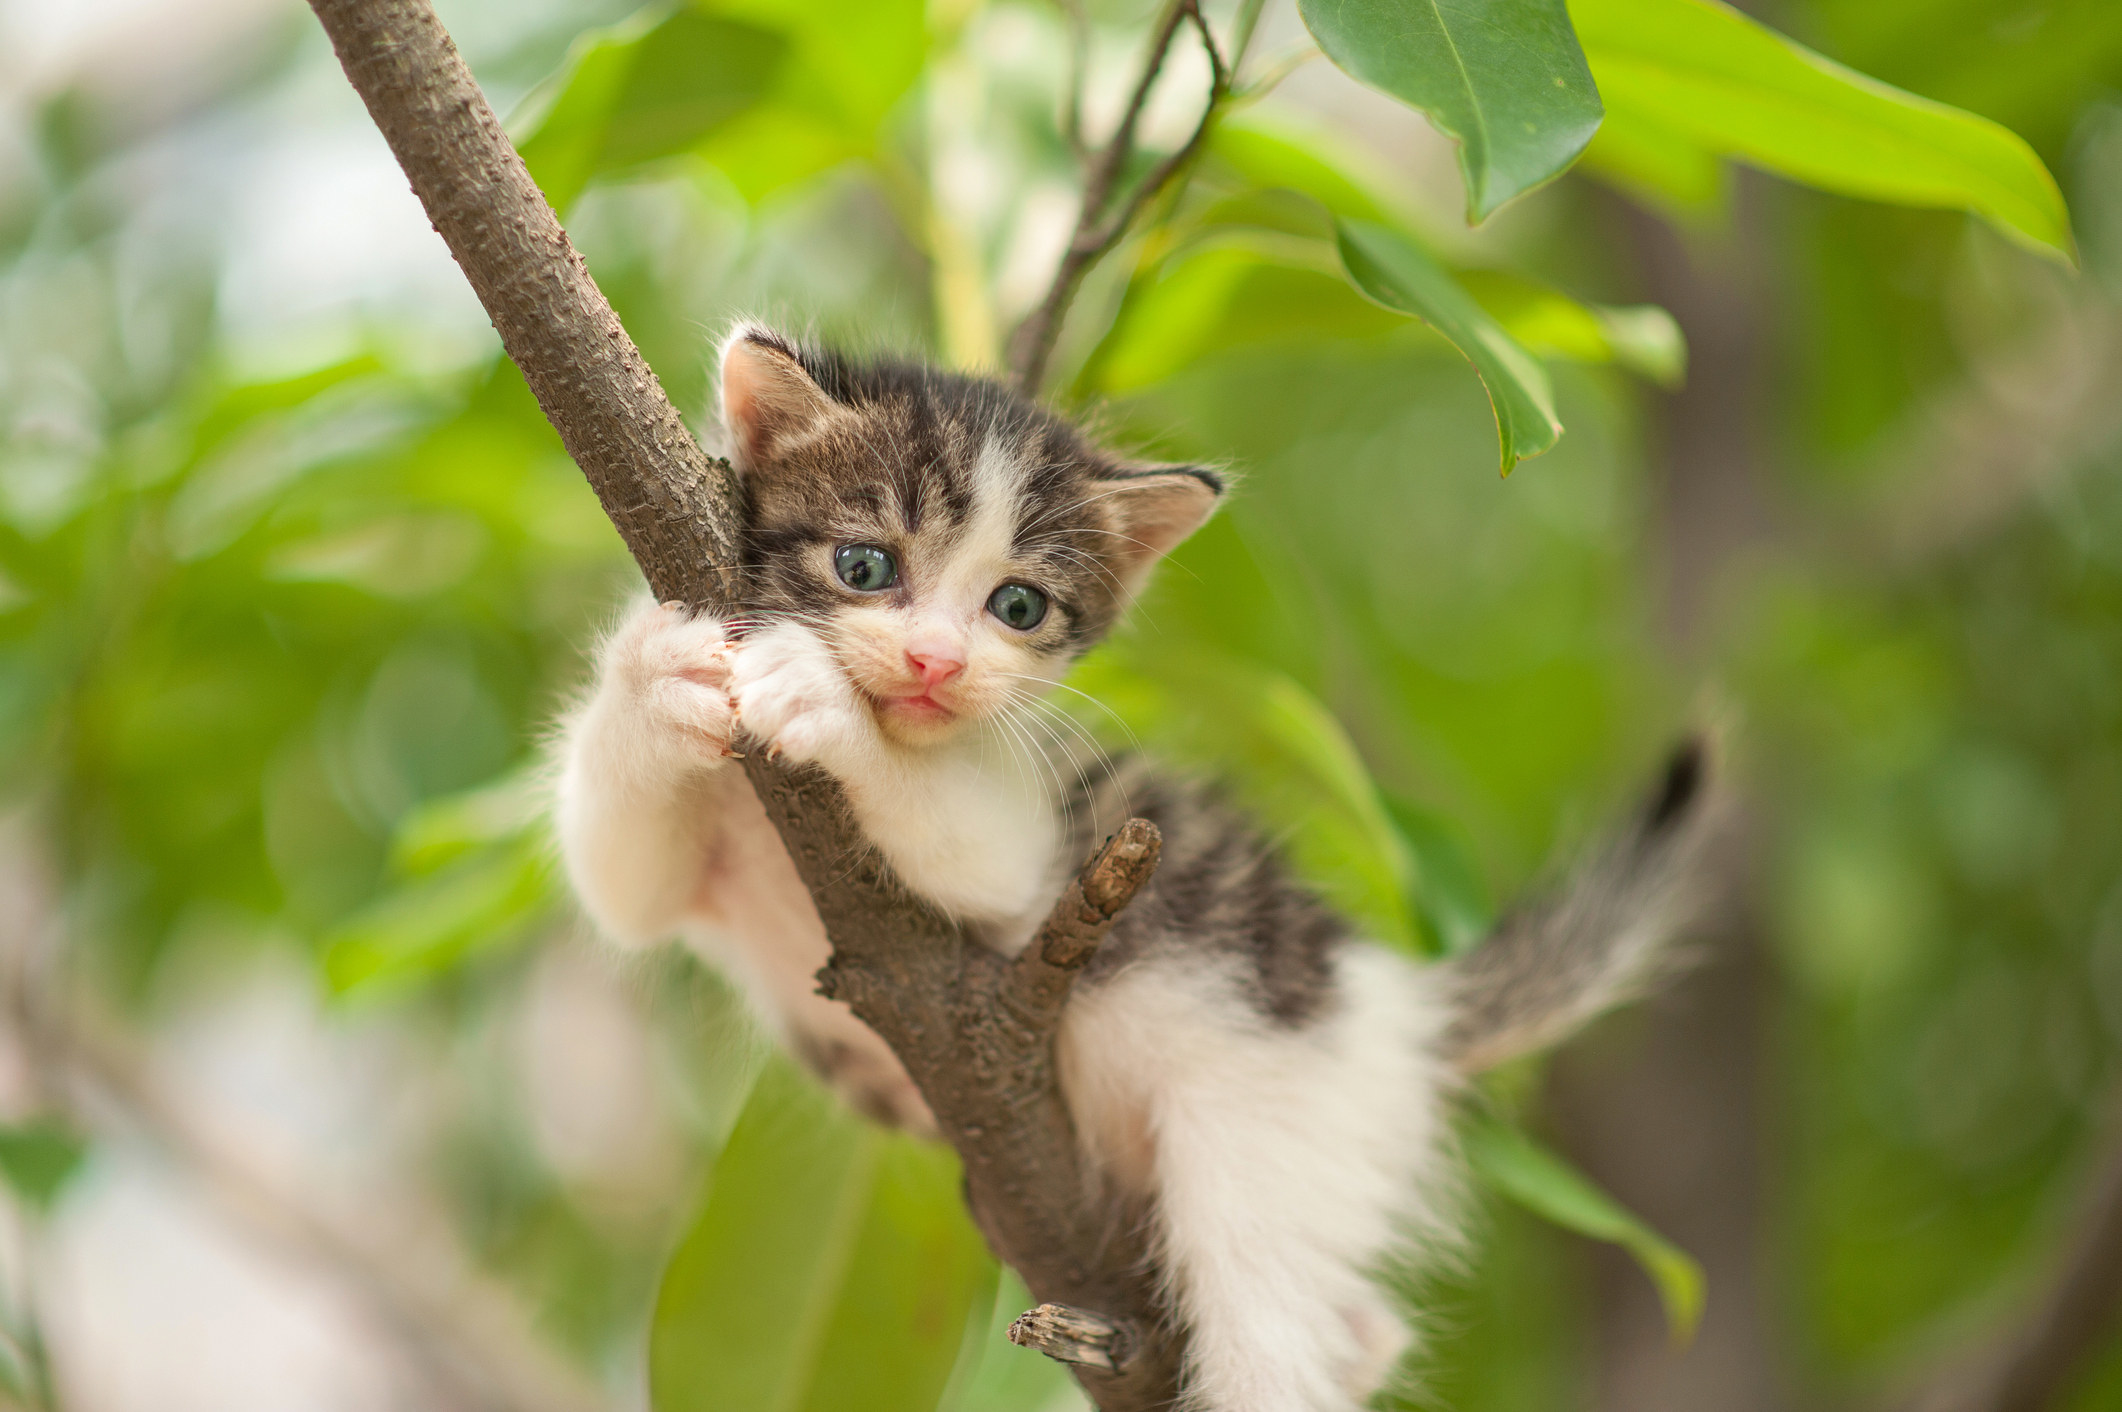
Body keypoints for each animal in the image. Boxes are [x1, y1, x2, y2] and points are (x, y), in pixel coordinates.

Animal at [555, 322, 1714, 1409]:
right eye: (864, 566)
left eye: (1018, 607)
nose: (937, 662)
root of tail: (1400, 1002)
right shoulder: (699, 873)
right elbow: (622, 882)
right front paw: (653, 676)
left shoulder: (1032, 850)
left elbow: (974, 844)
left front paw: (822, 697)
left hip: (1275, 1122)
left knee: (1265, 1314)